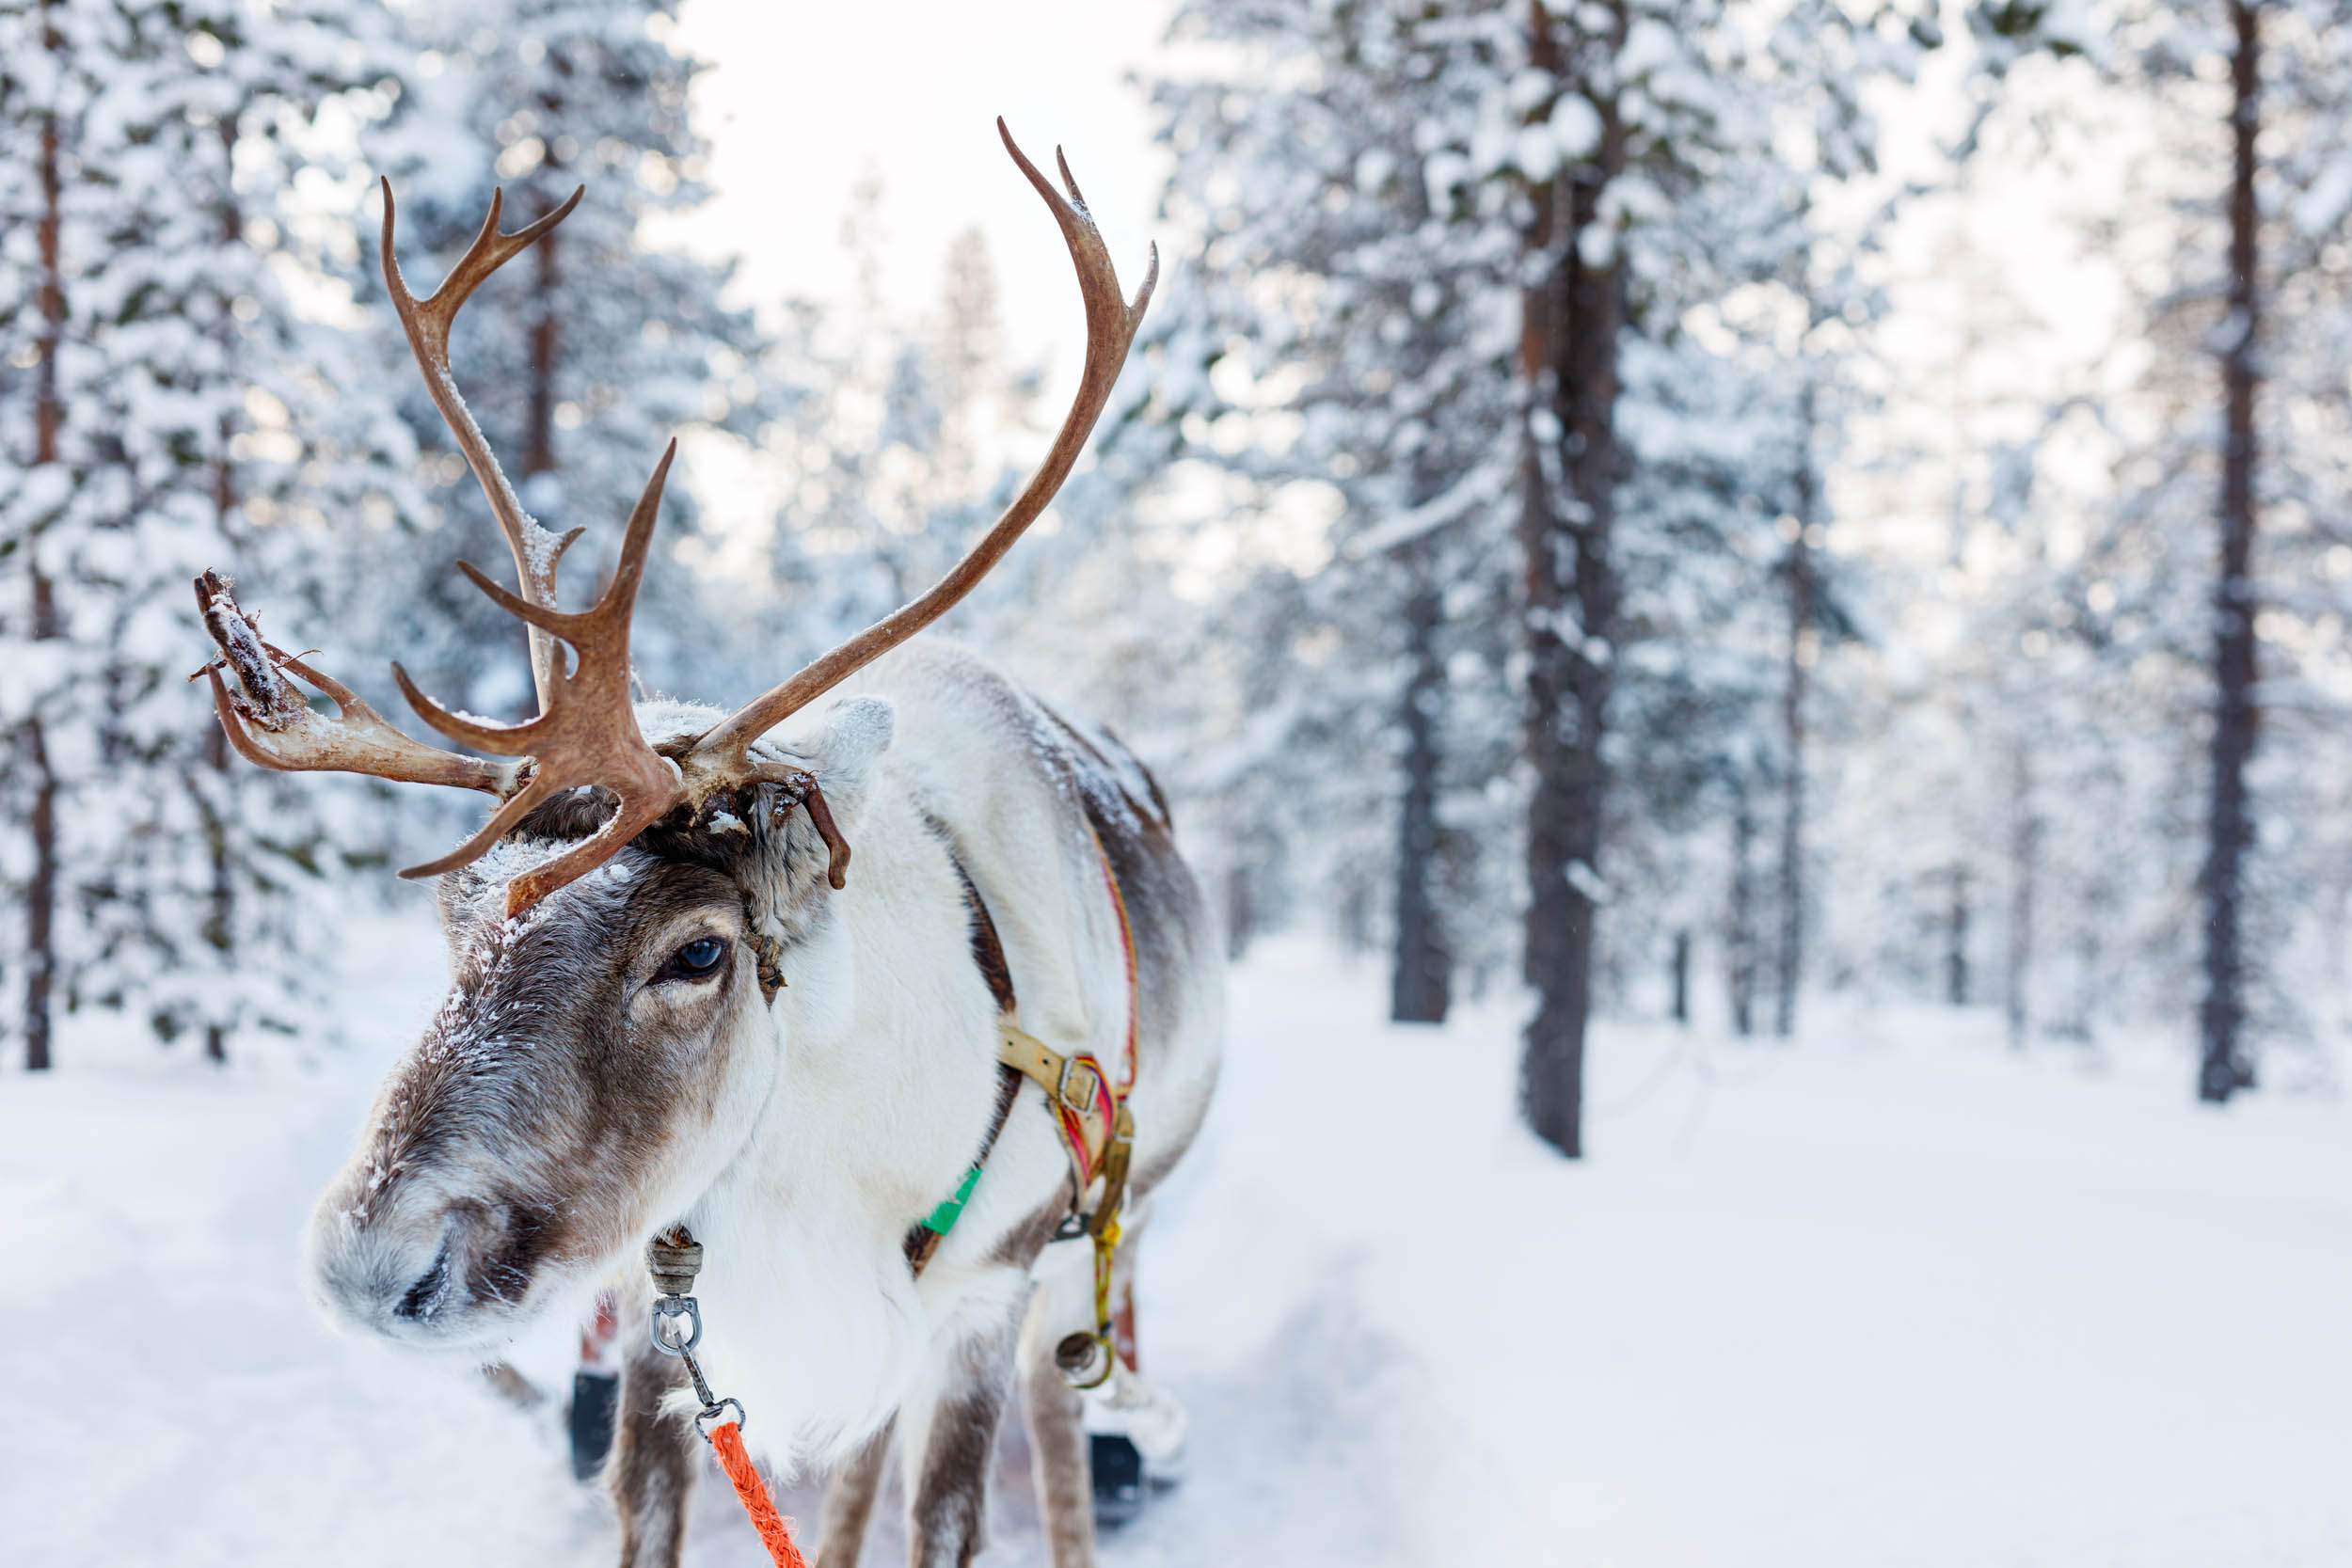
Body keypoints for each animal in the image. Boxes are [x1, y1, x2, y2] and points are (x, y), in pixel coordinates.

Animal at [192, 123, 1221, 1568]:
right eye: (456, 917)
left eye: (696, 952)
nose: (367, 1267)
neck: (828, 1157)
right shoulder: (665, 1310)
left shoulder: (982, 1296)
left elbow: (950, 1508)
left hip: (1095, 1243)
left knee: (1067, 1416)